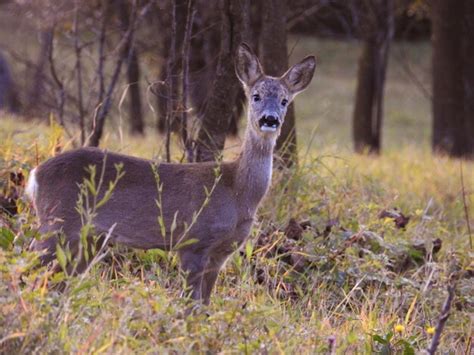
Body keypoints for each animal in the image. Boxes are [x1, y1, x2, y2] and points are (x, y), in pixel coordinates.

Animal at [25, 43, 314, 306]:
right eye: (255, 96)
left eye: (285, 101)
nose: (270, 119)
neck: (237, 191)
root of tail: (36, 174)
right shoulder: (193, 241)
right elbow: (190, 306)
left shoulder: (222, 252)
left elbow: (204, 306)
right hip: (59, 223)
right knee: (28, 270)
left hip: (88, 239)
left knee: (56, 284)